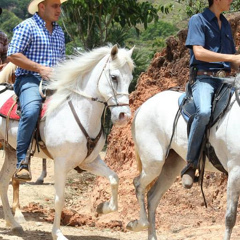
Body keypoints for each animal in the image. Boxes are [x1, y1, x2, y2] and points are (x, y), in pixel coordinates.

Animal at [0, 45, 133, 240]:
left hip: (10, 152)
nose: (124, 116)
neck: (81, 112)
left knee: (3, 182)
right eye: (114, 77)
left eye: (130, 78)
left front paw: (103, 207)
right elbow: (59, 198)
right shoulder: (61, 163)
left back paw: (14, 224)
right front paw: (57, 233)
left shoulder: (89, 161)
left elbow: (114, 178)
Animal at [125, 76, 240, 240]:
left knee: (152, 197)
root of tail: (142, 107)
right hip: (154, 163)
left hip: (171, 167)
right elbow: (230, 218)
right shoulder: (235, 171)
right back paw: (138, 224)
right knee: (138, 184)